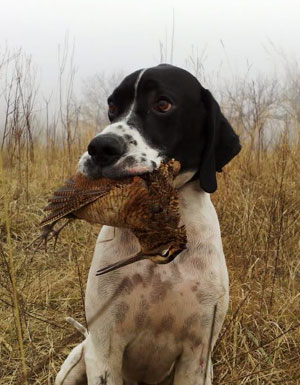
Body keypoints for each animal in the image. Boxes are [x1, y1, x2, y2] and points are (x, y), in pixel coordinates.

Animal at [54, 64, 241, 382]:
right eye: (112, 107)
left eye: (163, 104)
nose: (100, 147)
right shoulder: (104, 350)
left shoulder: (197, 356)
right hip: (78, 361)